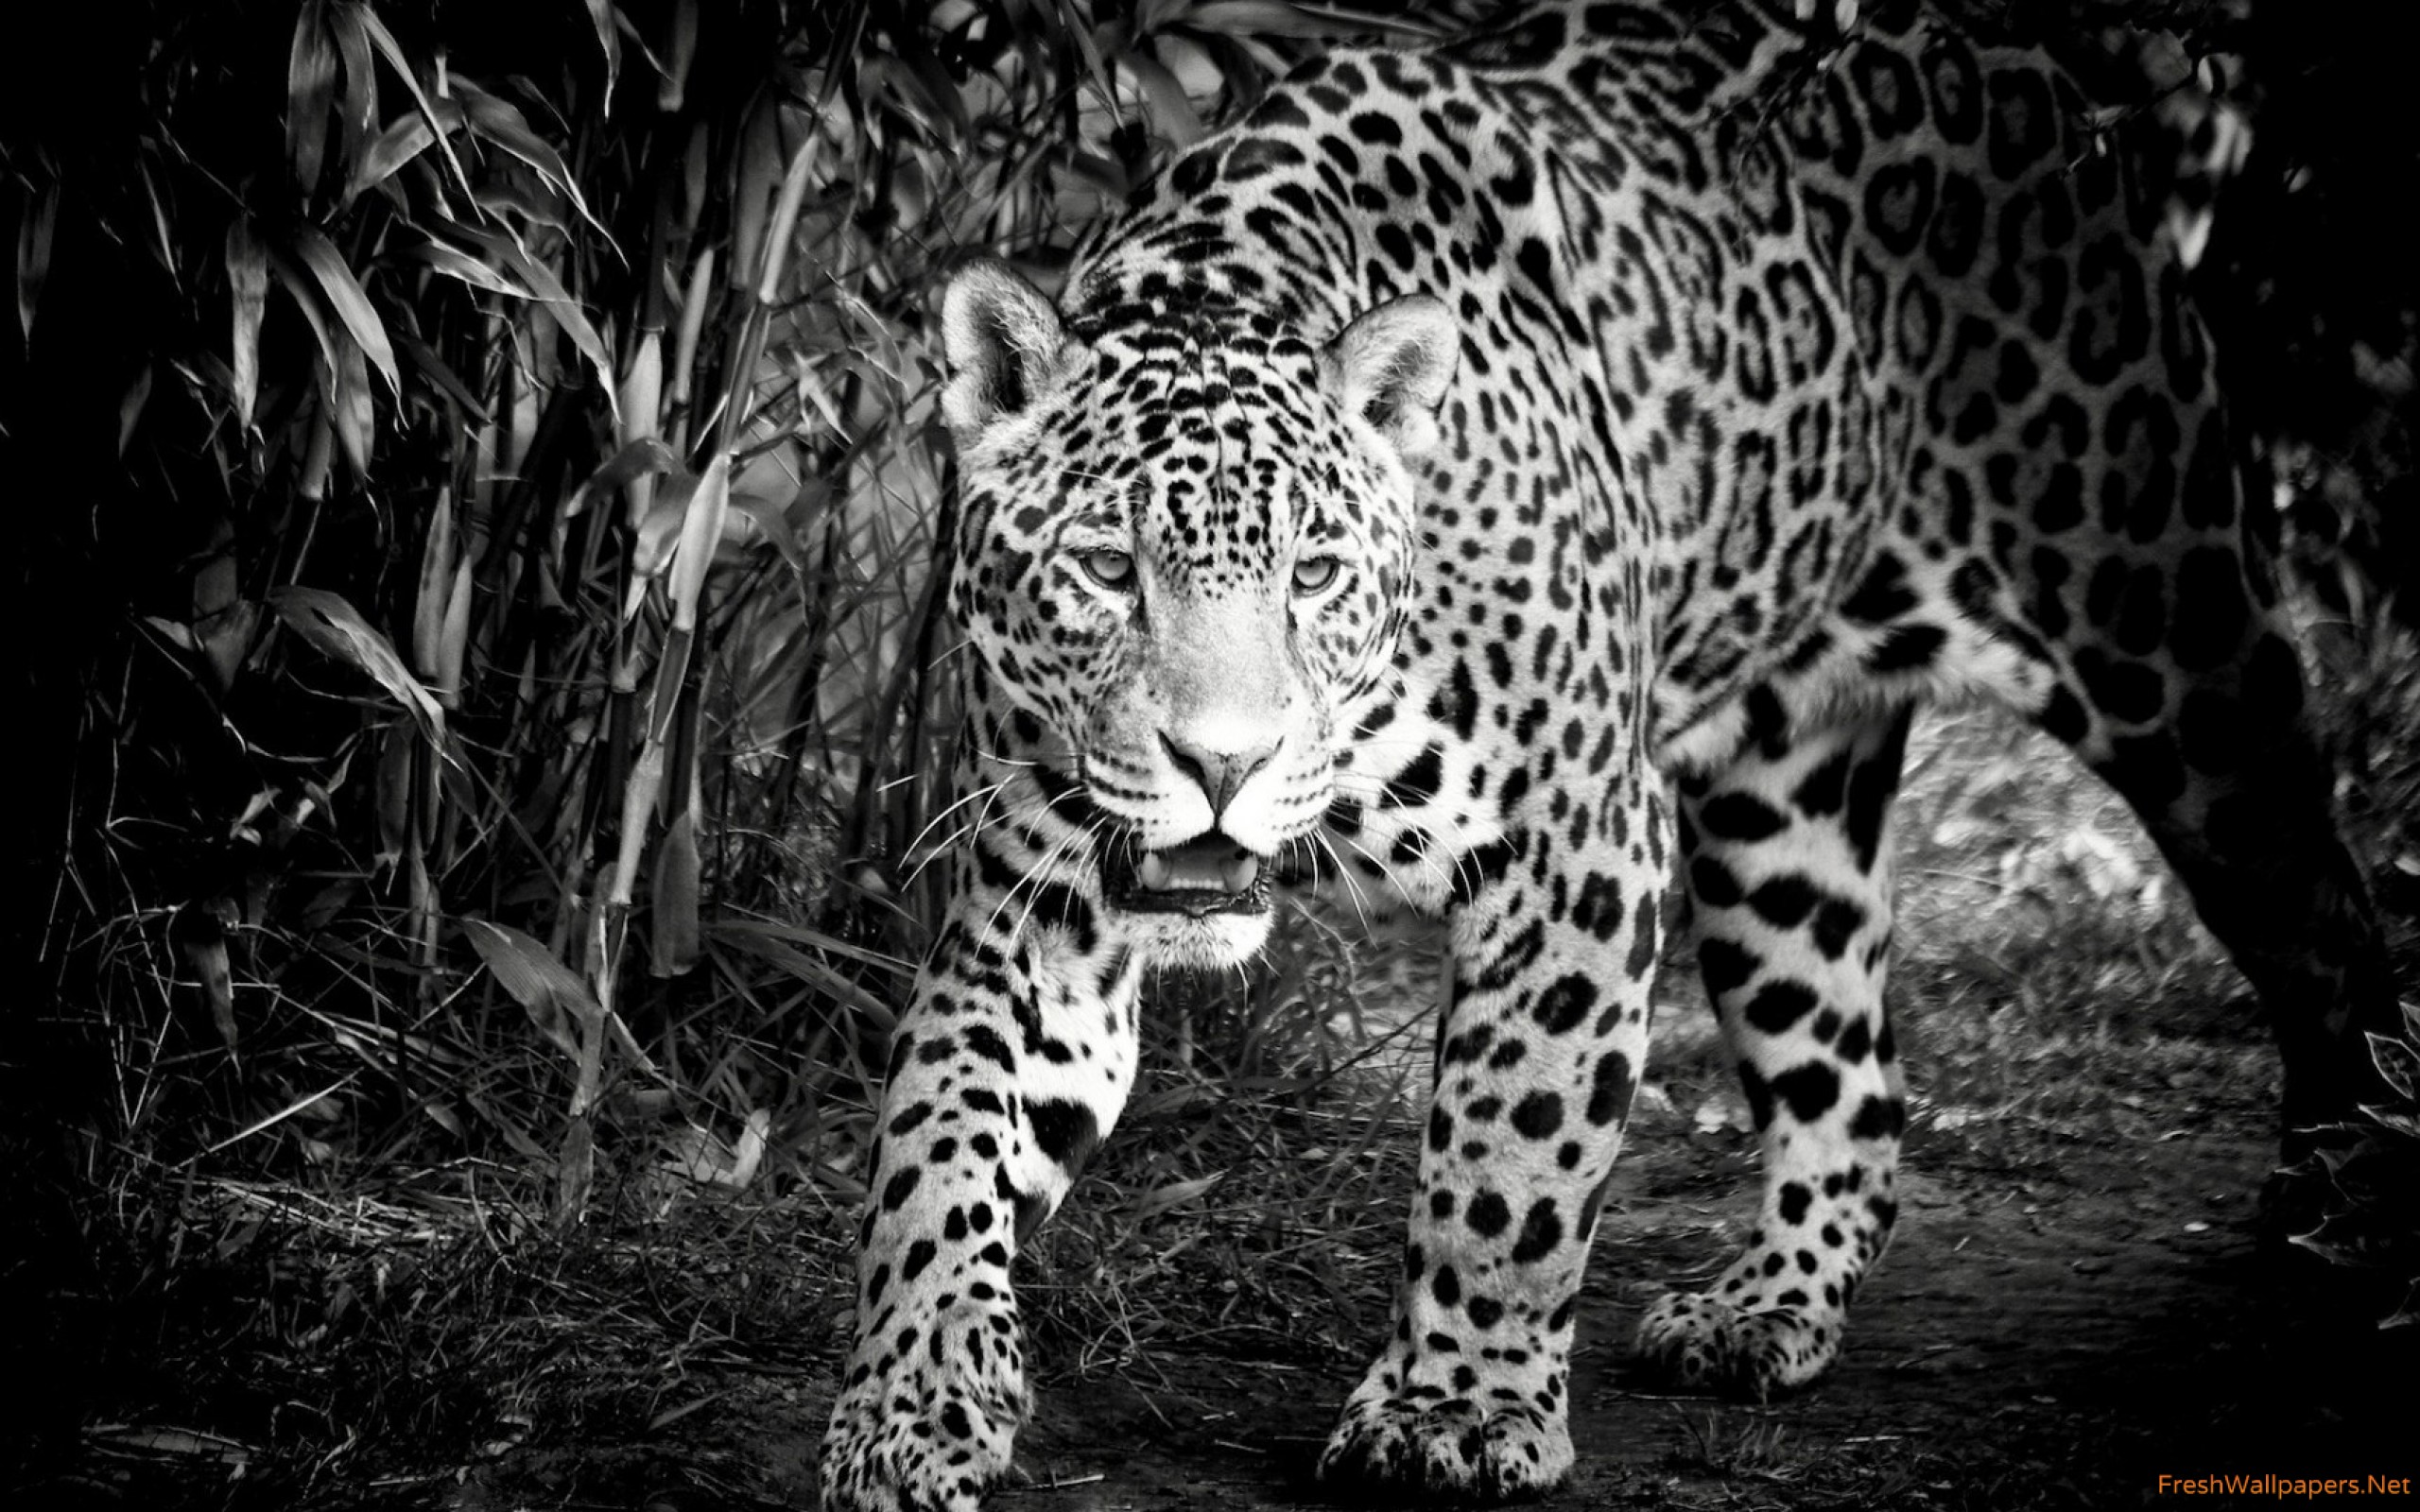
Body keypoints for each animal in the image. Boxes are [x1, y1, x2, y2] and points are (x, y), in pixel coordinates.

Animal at [816, 0, 2396, 1505]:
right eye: (1104, 565)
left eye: (1314, 575)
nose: (1222, 767)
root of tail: (2011, 56)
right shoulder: (1035, 910)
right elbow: (935, 1149)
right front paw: (911, 1404)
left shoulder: (1572, 854)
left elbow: (1508, 1159)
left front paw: (1454, 1413)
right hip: (1780, 830)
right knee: (1850, 1073)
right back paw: (1765, 1309)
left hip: (2169, 638)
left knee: (2322, 907)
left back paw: (2348, 1203)